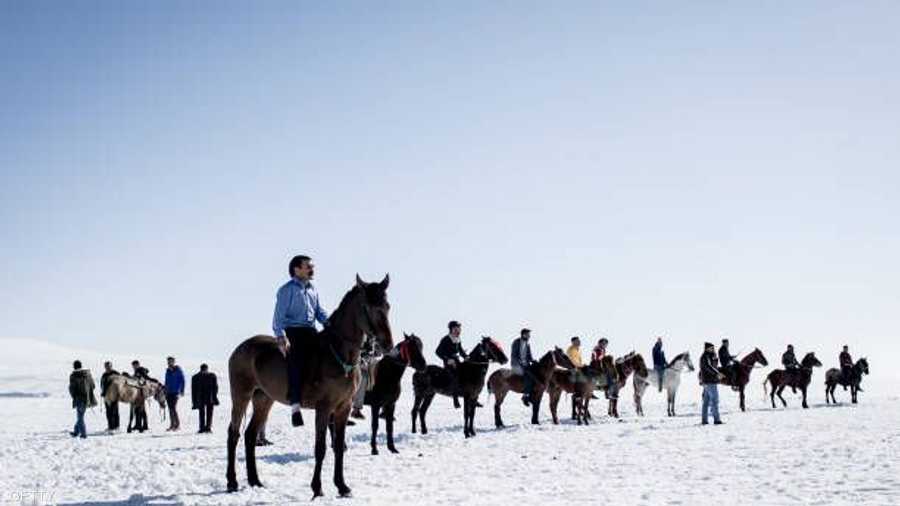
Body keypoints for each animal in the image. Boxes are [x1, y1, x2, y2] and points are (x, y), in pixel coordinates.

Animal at [224, 274, 390, 496]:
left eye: (387, 306)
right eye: (369, 307)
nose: (386, 344)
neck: (338, 354)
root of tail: (240, 349)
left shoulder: (343, 408)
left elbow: (338, 447)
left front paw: (342, 486)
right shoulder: (324, 408)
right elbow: (320, 448)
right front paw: (317, 488)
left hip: (263, 399)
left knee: (250, 435)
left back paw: (255, 480)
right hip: (241, 394)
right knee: (234, 433)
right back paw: (232, 482)